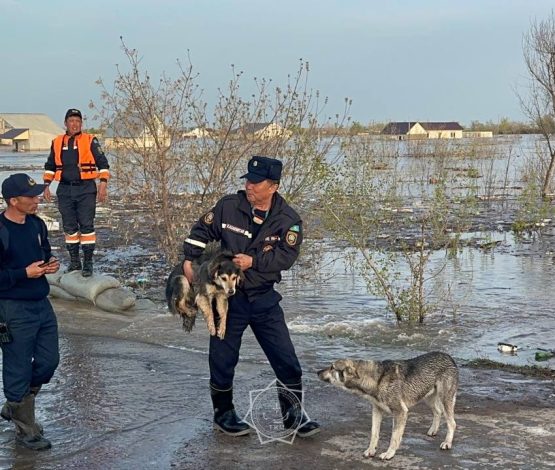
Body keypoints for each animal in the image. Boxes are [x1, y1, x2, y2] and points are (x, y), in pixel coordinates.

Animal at [320, 352, 458, 458]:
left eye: (332, 367)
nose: (317, 372)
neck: (377, 379)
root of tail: (449, 357)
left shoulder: (400, 412)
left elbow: (394, 437)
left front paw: (389, 454)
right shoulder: (377, 410)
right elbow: (374, 434)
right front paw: (371, 450)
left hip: (445, 400)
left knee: (452, 423)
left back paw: (447, 443)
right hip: (427, 397)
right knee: (438, 412)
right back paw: (433, 430)